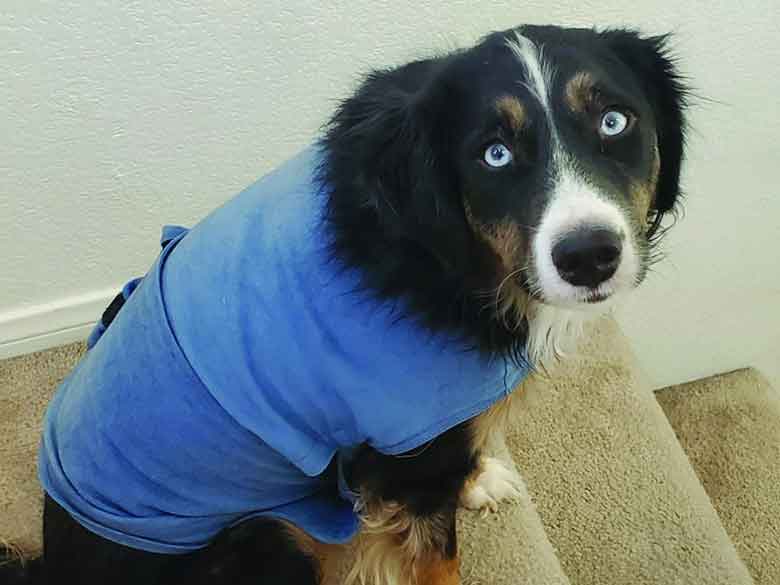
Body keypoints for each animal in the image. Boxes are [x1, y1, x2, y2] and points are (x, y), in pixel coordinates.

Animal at [4, 22, 688, 584]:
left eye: (614, 121)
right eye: (494, 153)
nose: (589, 255)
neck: (444, 253)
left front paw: (478, 480)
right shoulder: (408, 446)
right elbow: (438, 556)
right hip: (266, 540)